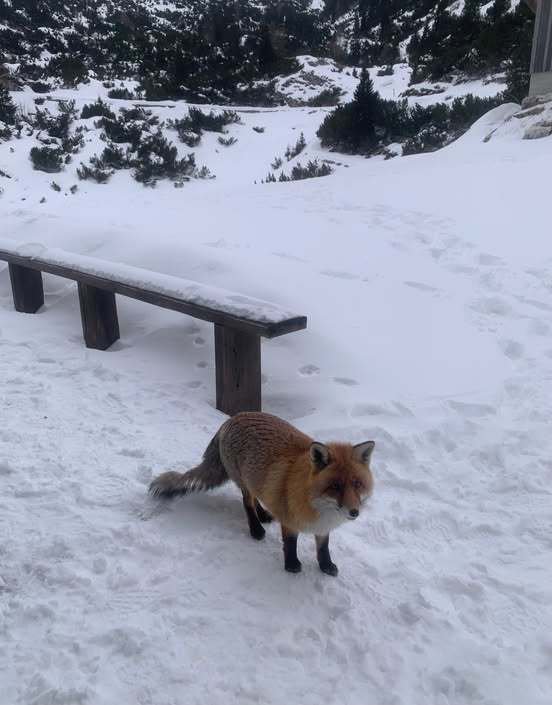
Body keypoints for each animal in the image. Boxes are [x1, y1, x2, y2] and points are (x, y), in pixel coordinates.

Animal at [150, 410, 376, 576]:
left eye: (357, 483)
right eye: (335, 486)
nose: (354, 512)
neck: (318, 505)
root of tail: (233, 418)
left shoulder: (322, 527)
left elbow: (323, 547)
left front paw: (326, 566)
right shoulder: (289, 520)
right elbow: (290, 544)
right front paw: (291, 565)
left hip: (255, 479)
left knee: (256, 496)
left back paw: (264, 515)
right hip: (243, 481)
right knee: (247, 502)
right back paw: (256, 528)